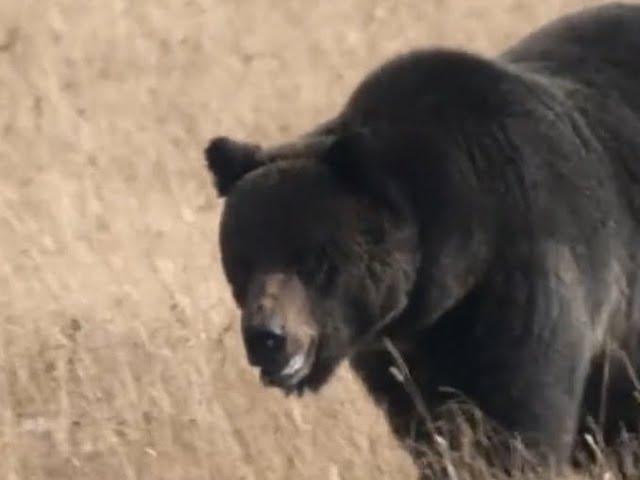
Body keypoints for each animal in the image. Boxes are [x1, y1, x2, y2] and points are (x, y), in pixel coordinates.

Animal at [202, 2, 640, 472]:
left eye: (313, 259)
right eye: (242, 259)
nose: (267, 337)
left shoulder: (531, 283)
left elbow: (523, 419)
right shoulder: (399, 356)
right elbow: (429, 430)